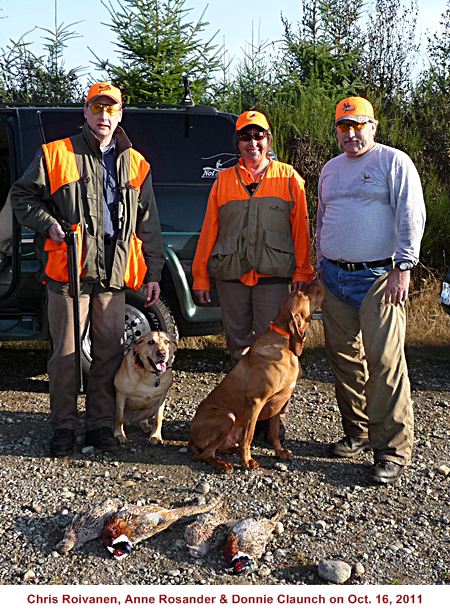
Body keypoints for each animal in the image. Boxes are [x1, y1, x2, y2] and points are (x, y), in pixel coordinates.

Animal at [189, 280, 324, 470]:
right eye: (302, 295)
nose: (317, 278)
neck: (285, 345)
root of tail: (191, 438)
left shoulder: (279, 402)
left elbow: (274, 432)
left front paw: (279, 451)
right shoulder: (256, 402)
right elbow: (249, 436)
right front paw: (247, 461)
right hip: (227, 417)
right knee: (206, 454)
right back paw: (222, 464)